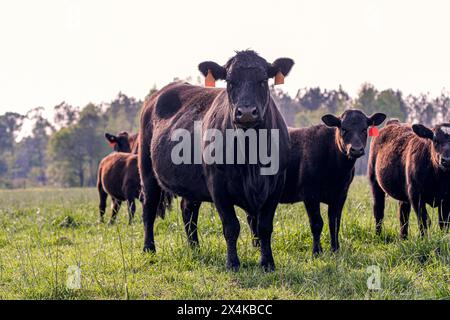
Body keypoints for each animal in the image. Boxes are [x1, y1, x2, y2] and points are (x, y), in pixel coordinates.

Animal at [141, 51, 296, 272]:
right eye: (230, 82)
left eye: (263, 80)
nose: (246, 112)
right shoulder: (218, 186)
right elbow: (231, 226)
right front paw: (233, 263)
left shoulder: (276, 184)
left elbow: (264, 226)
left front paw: (267, 263)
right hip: (146, 169)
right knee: (149, 208)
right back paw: (149, 248)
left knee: (188, 211)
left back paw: (195, 249)